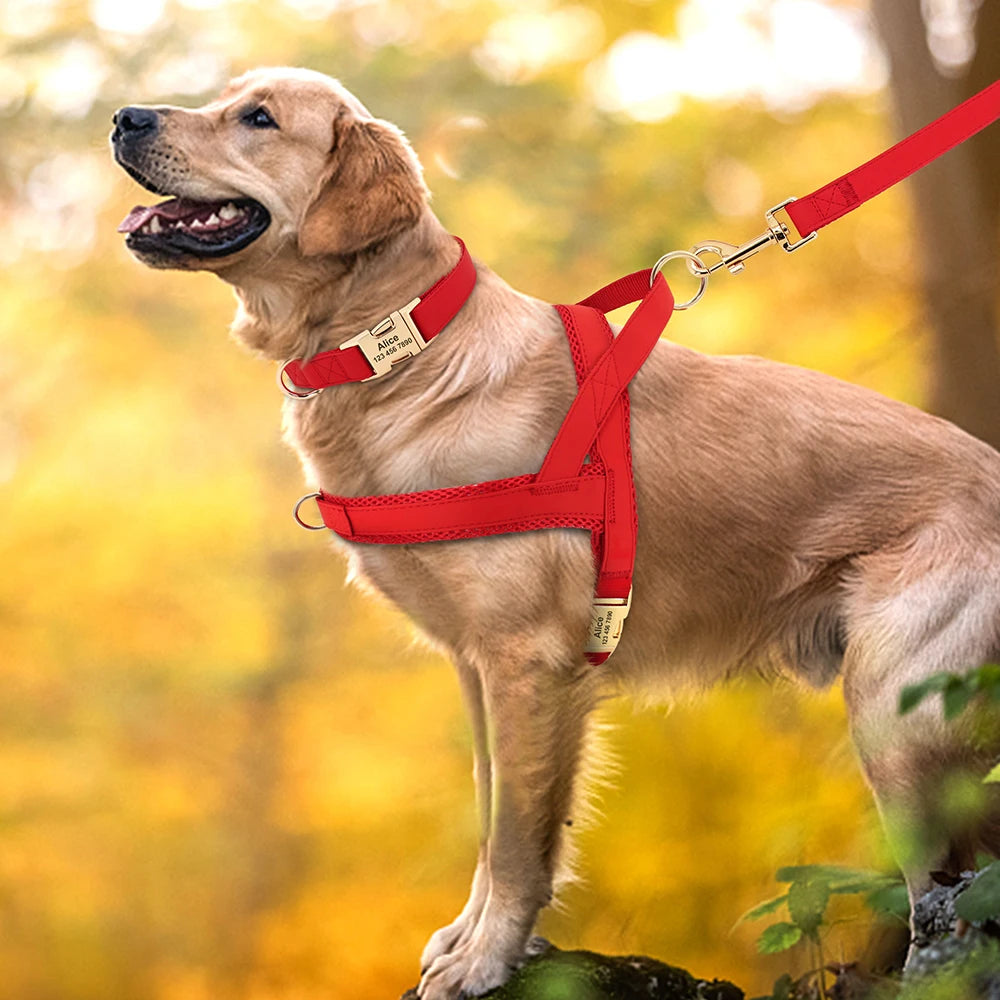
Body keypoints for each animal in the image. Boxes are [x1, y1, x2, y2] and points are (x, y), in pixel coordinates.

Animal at [109, 66, 1000, 996]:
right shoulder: (477, 667)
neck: (405, 349)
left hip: (899, 715)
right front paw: (471, 939)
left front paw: (486, 960)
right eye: (226, 94)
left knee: (951, 893)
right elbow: (489, 813)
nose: (123, 117)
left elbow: (515, 839)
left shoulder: (529, 661)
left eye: (258, 118)